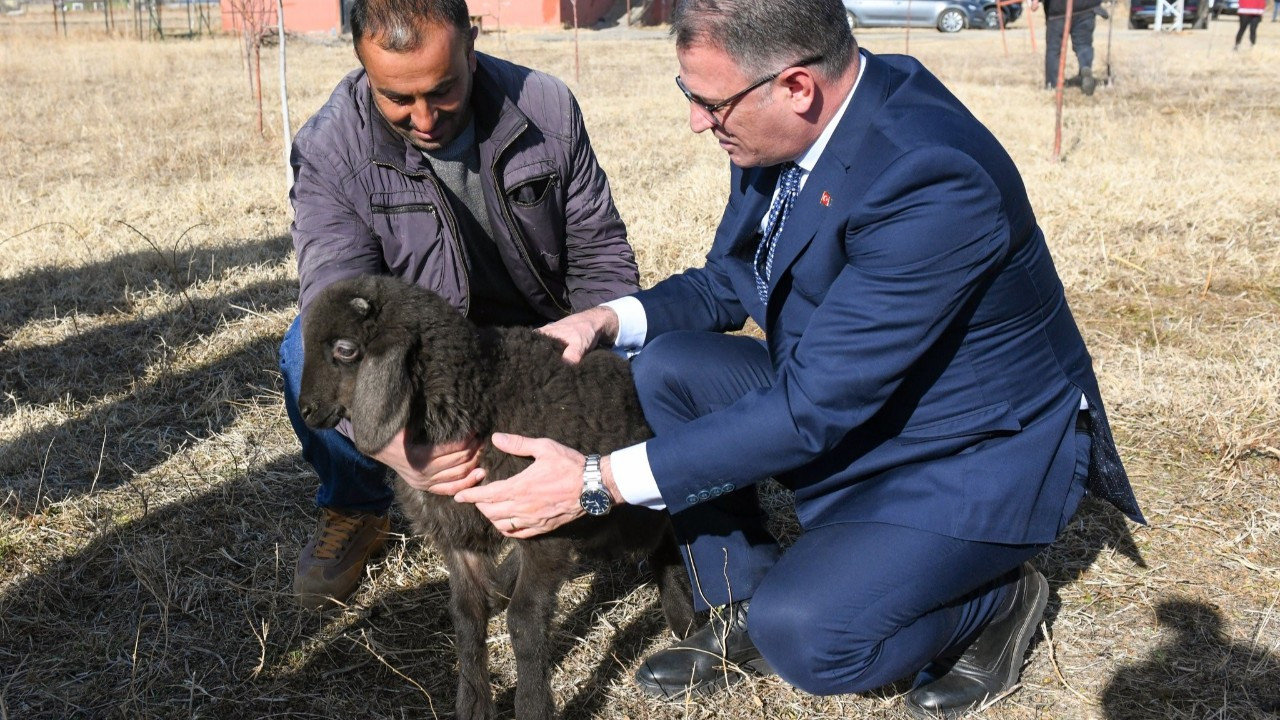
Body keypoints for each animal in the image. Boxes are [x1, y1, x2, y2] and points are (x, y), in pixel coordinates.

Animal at [294, 272, 696, 717]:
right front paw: (473, 703)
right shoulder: (461, 537)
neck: (481, 396)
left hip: (622, 517)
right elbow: (467, 619)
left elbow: (524, 621)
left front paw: (532, 705)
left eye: (345, 350)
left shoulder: (545, 528)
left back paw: (682, 615)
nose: (306, 410)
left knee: (662, 530)